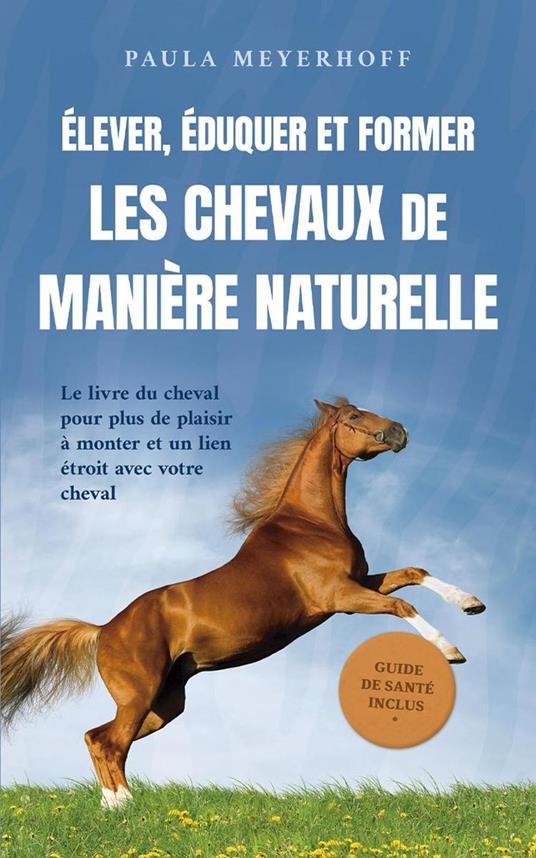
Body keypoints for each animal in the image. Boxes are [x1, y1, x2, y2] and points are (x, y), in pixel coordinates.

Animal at [1, 398, 485, 808]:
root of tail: (104, 629)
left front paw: (471, 603)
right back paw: (124, 807)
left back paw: (113, 806)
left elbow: (413, 574)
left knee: (96, 737)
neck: (311, 523)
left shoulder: (362, 582)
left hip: (164, 704)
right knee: (108, 742)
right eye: (353, 418)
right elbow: (403, 607)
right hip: (139, 695)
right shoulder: (340, 596)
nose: (401, 431)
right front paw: (451, 651)